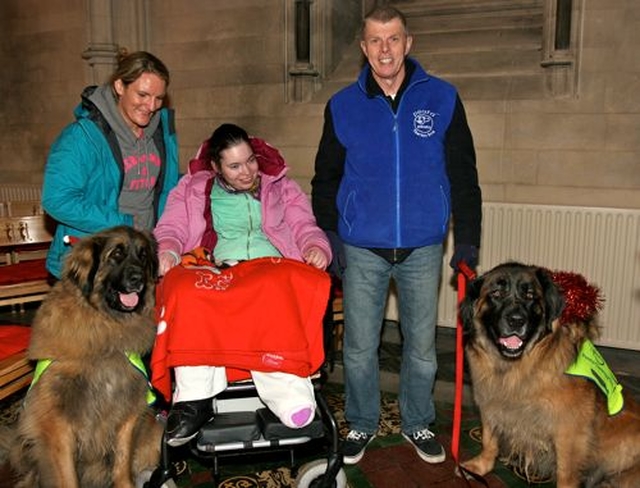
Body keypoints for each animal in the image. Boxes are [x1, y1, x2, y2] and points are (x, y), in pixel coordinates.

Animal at [3, 227, 162, 486]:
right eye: (116, 254)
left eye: (143, 255)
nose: (138, 280)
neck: (105, 326)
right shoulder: (57, 424)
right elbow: (67, 476)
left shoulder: (128, 411)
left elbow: (122, 462)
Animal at [460, 264, 640, 488]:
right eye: (496, 293)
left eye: (530, 295)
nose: (516, 321)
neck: (519, 366)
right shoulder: (492, 404)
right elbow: (489, 440)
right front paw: (481, 466)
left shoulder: (569, 429)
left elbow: (565, 471)